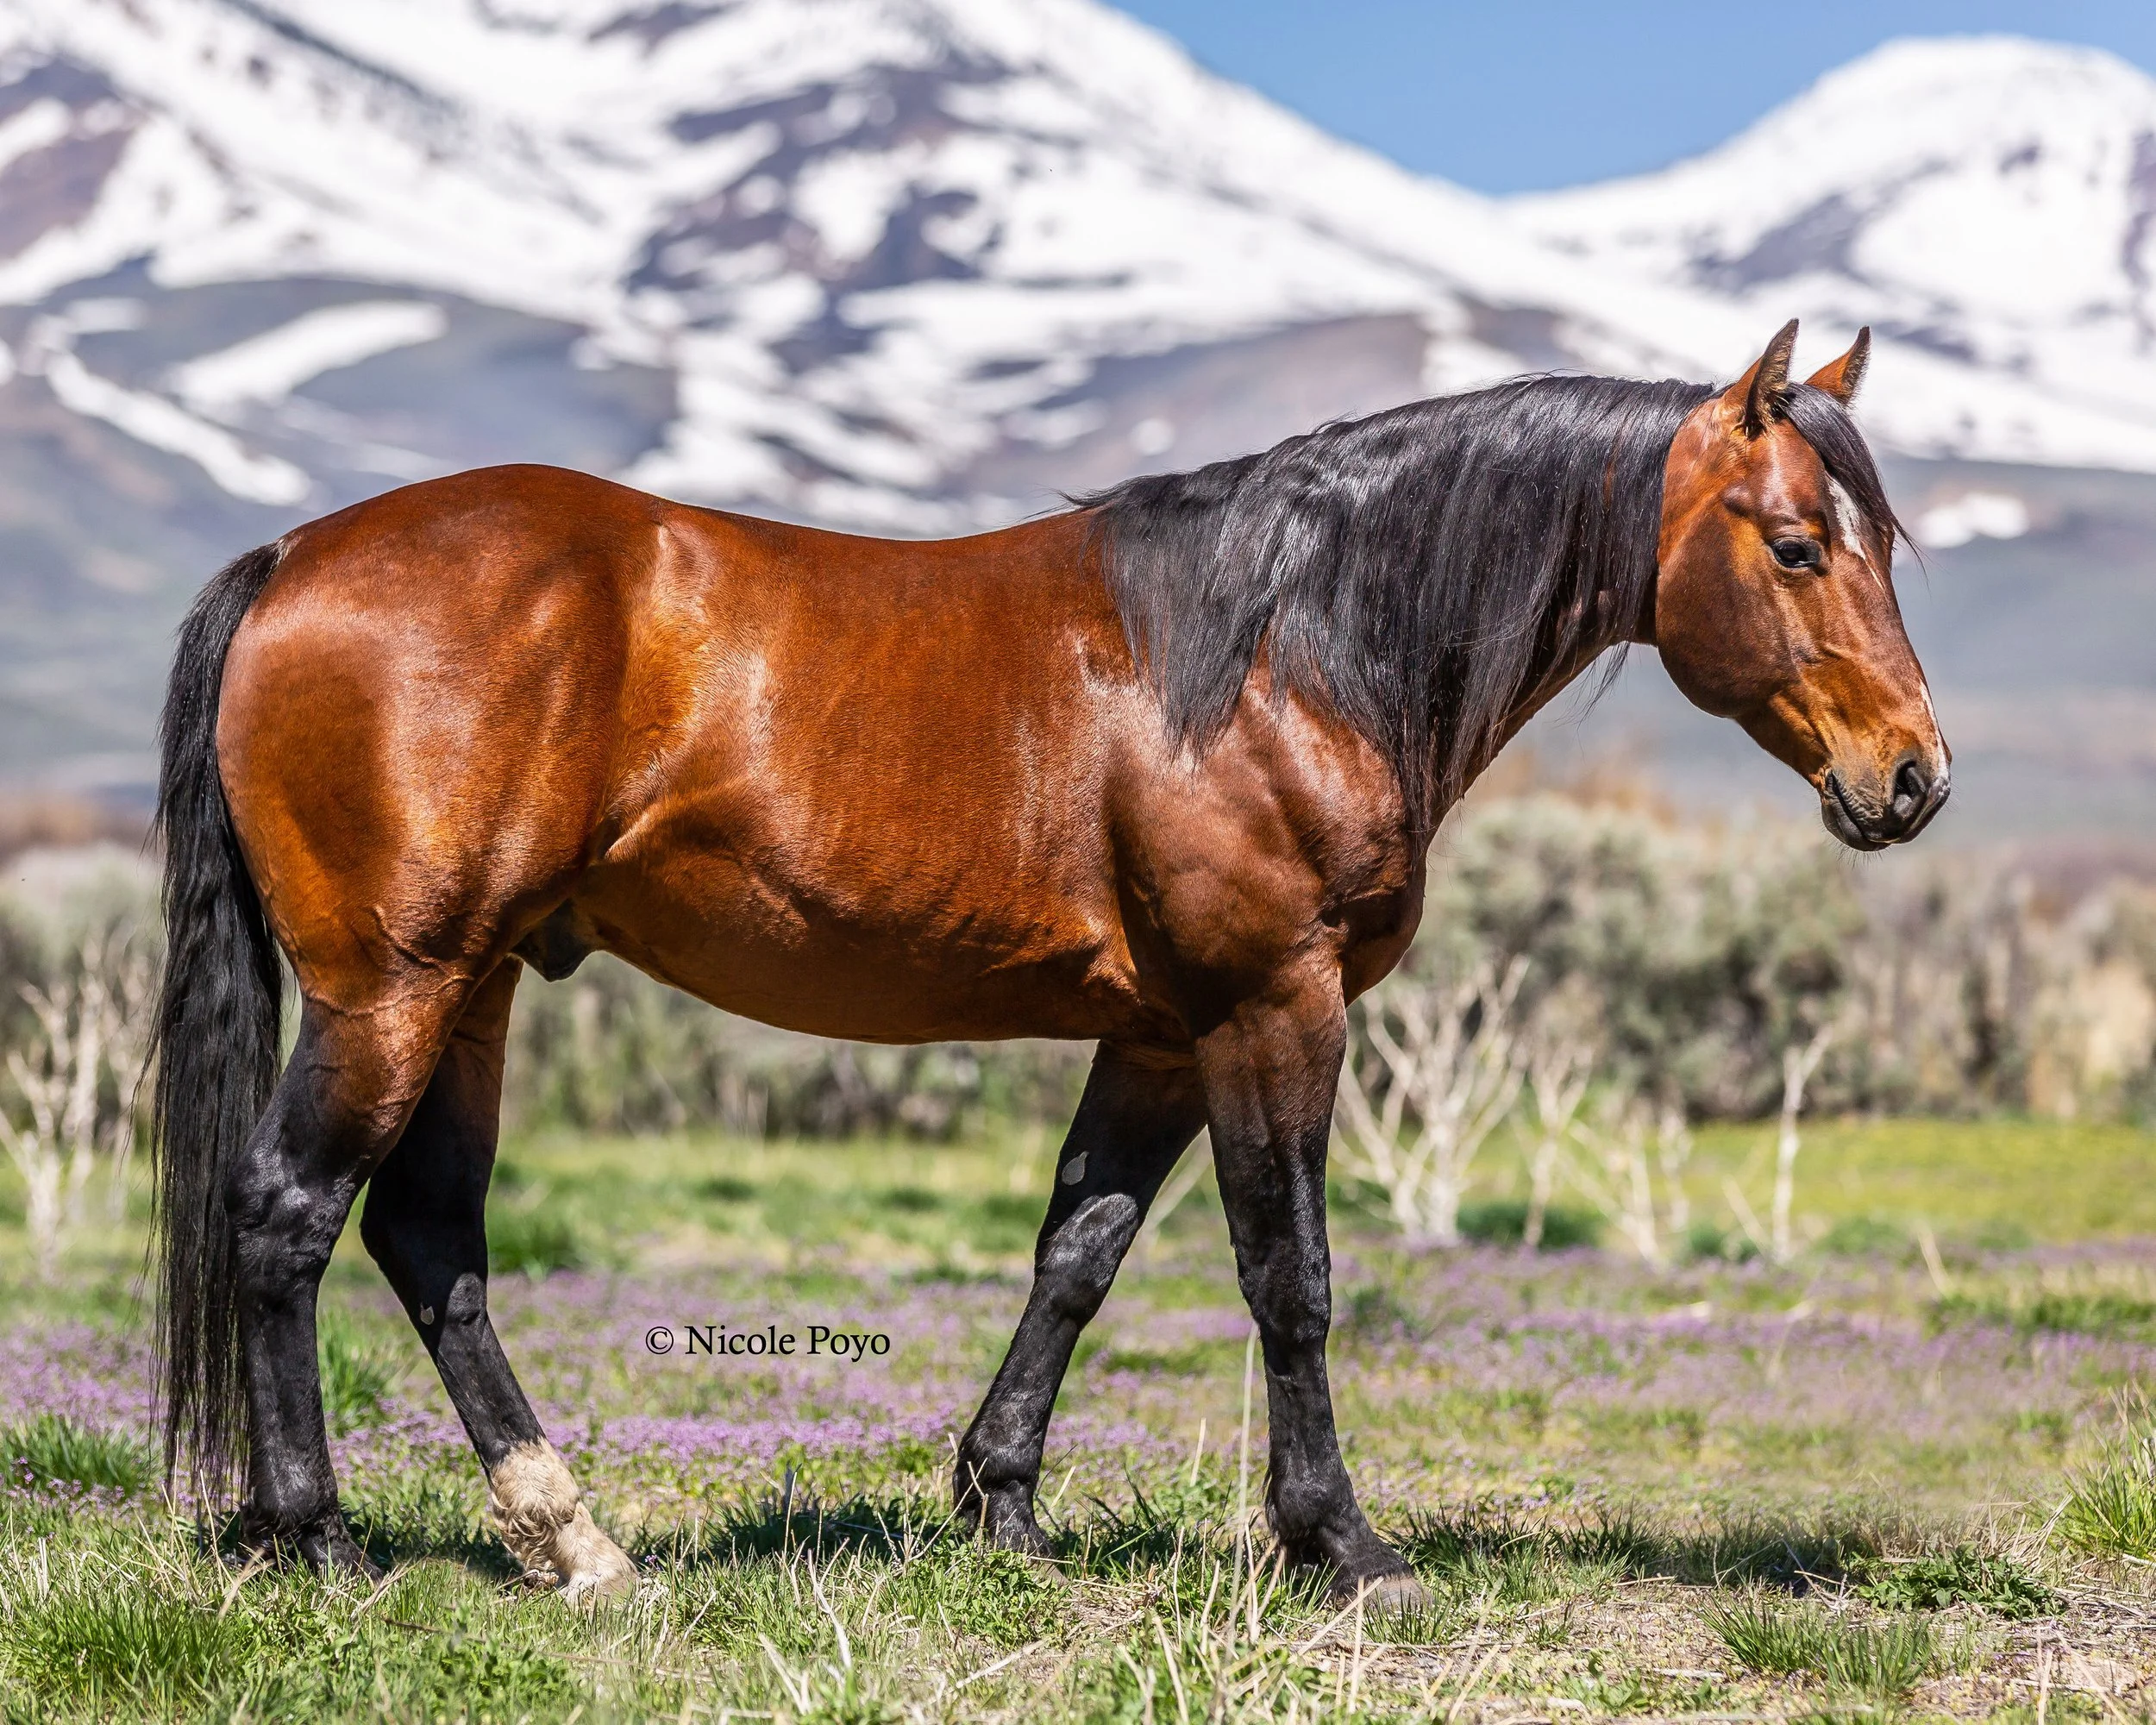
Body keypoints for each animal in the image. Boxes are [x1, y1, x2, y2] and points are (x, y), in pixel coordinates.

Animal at [148, 318, 1947, 1607]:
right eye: (1797, 546)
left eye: (1884, 544)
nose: (1914, 778)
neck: (1289, 644)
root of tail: (297, 558)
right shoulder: (1271, 1006)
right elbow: (1290, 1276)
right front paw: (1342, 1545)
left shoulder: (1158, 1035)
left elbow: (1077, 1253)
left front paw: (999, 1508)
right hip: (395, 987)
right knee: (288, 1216)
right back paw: (317, 1538)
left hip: (480, 986)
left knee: (428, 1238)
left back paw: (571, 1539)